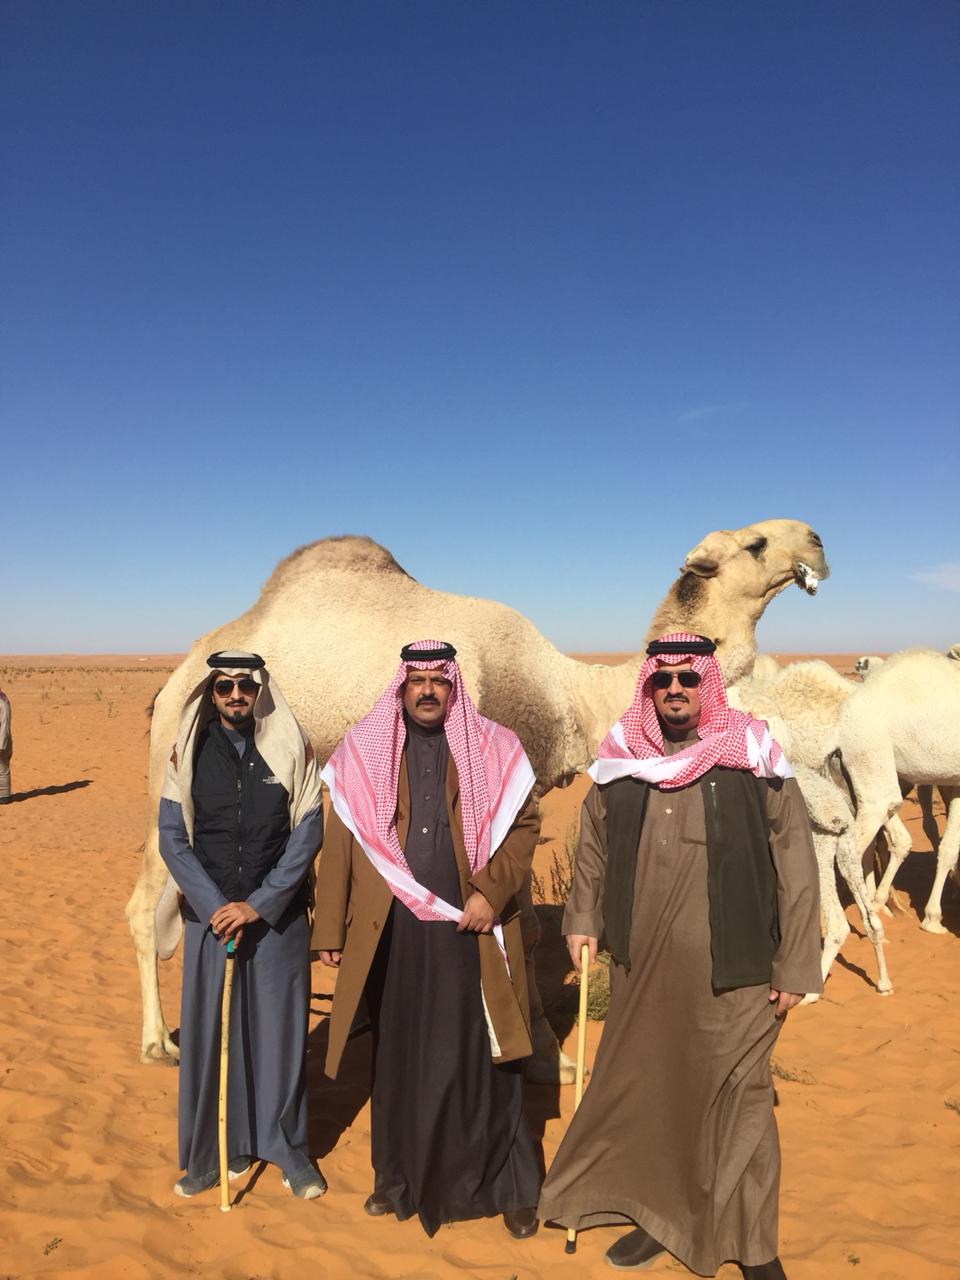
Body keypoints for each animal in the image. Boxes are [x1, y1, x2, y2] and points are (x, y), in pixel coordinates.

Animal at [127, 519, 828, 1067]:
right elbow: (527, 930)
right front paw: (548, 1055)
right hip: (173, 772)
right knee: (143, 905)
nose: (818, 541)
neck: (572, 698)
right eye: (756, 543)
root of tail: (173, 680)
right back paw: (161, 1044)